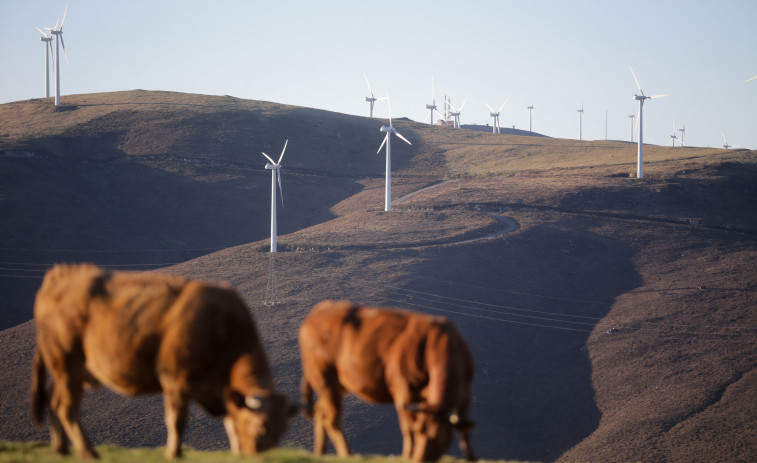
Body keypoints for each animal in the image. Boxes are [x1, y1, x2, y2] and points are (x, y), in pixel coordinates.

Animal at [30, 264, 296, 460]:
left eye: (283, 431)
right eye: (261, 427)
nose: (262, 457)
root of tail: (57, 276)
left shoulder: (222, 391)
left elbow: (231, 423)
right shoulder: (175, 378)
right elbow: (176, 420)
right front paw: (174, 454)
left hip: (71, 372)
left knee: (54, 401)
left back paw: (62, 450)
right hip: (65, 363)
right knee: (66, 408)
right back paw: (88, 453)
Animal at [298, 300, 476, 462]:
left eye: (441, 441)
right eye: (420, 431)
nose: (419, 459)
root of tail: (319, 310)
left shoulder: (465, 392)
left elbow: (465, 432)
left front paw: (471, 459)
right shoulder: (403, 390)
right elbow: (408, 428)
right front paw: (406, 457)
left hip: (338, 385)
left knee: (320, 410)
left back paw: (319, 454)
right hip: (324, 378)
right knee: (332, 420)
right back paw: (347, 455)